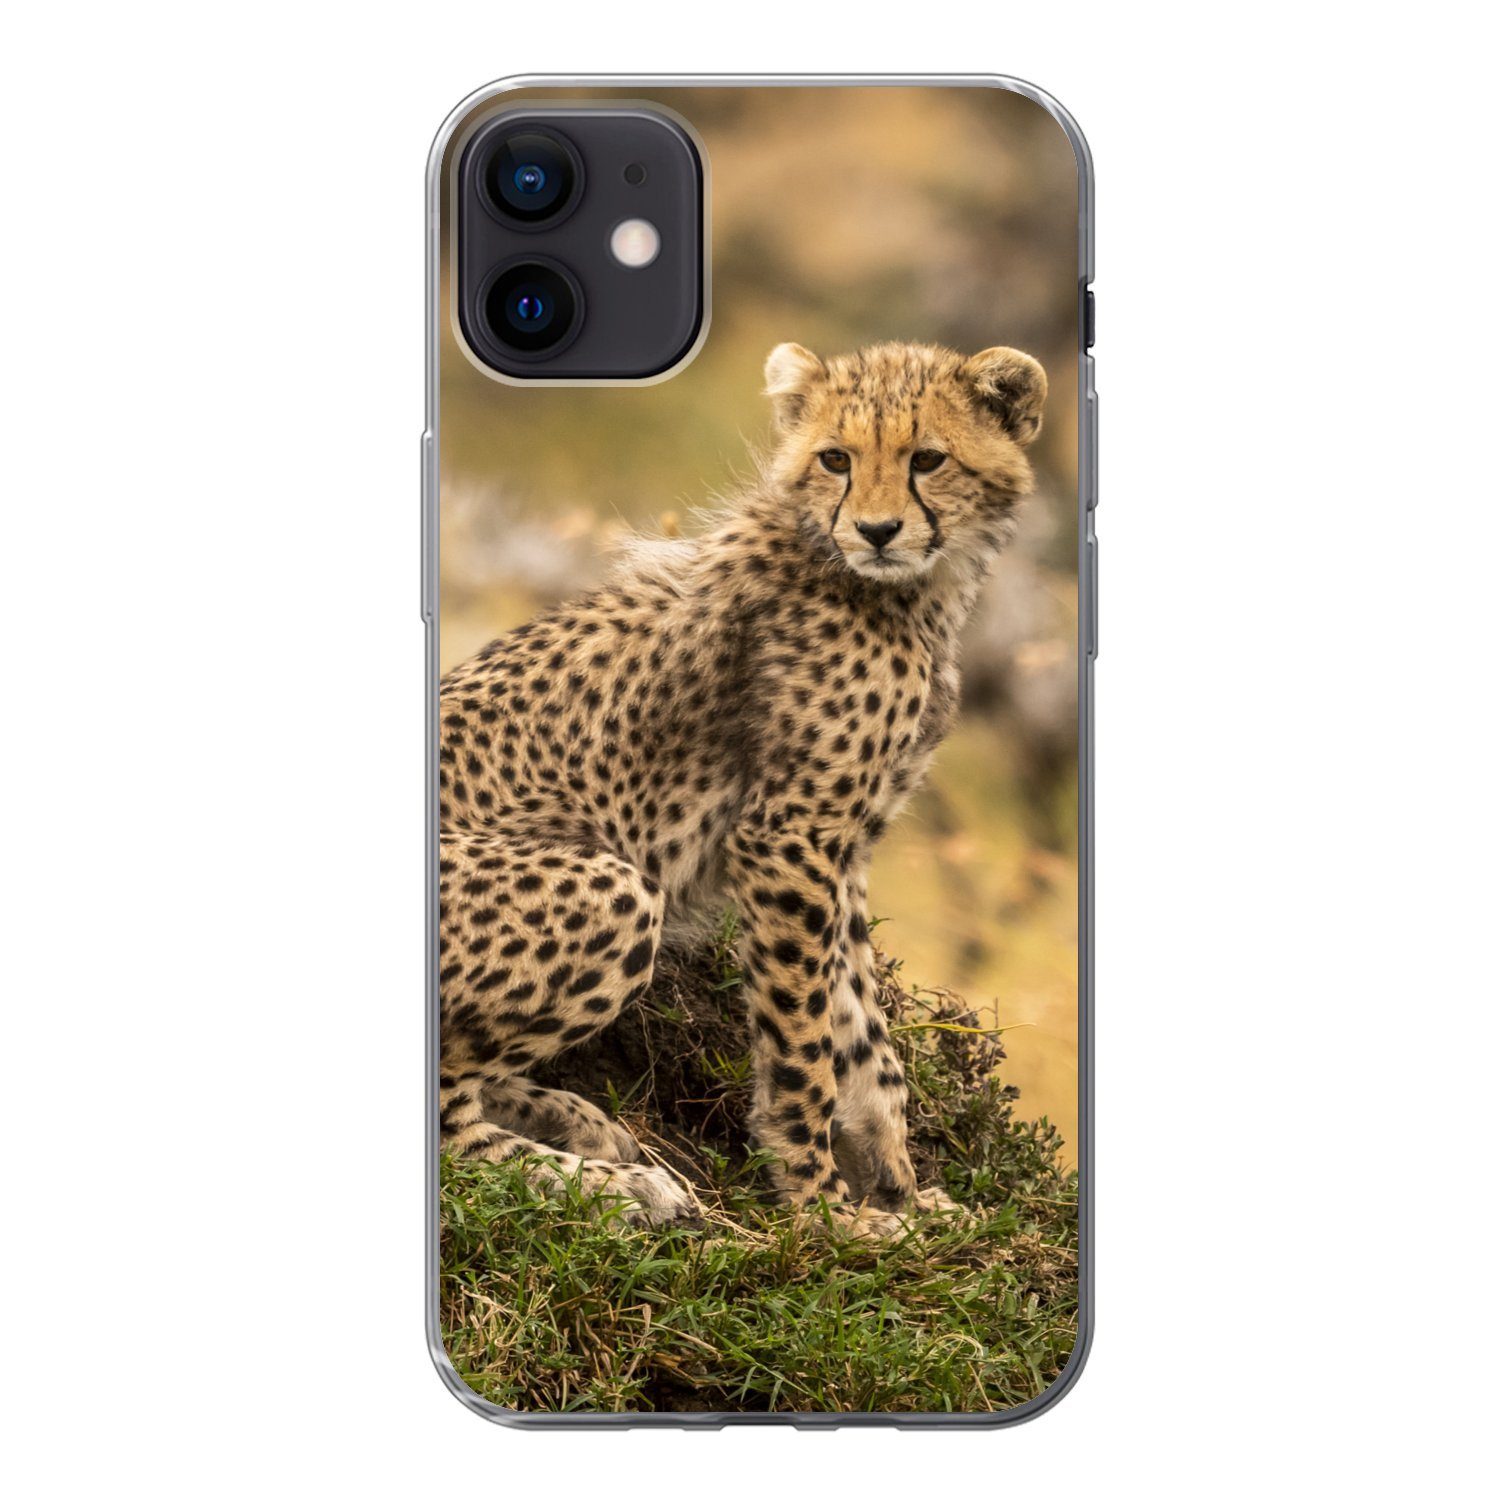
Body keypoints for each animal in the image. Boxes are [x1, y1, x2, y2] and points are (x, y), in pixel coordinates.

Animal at [437, 338, 1047, 1234]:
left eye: (928, 460)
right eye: (836, 459)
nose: (876, 531)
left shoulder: (843, 846)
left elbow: (866, 1036)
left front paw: (903, 1190)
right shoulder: (787, 839)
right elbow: (805, 1040)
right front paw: (827, 1210)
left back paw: (575, 1121)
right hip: (613, 888)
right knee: (449, 1121)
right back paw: (611, 1185)